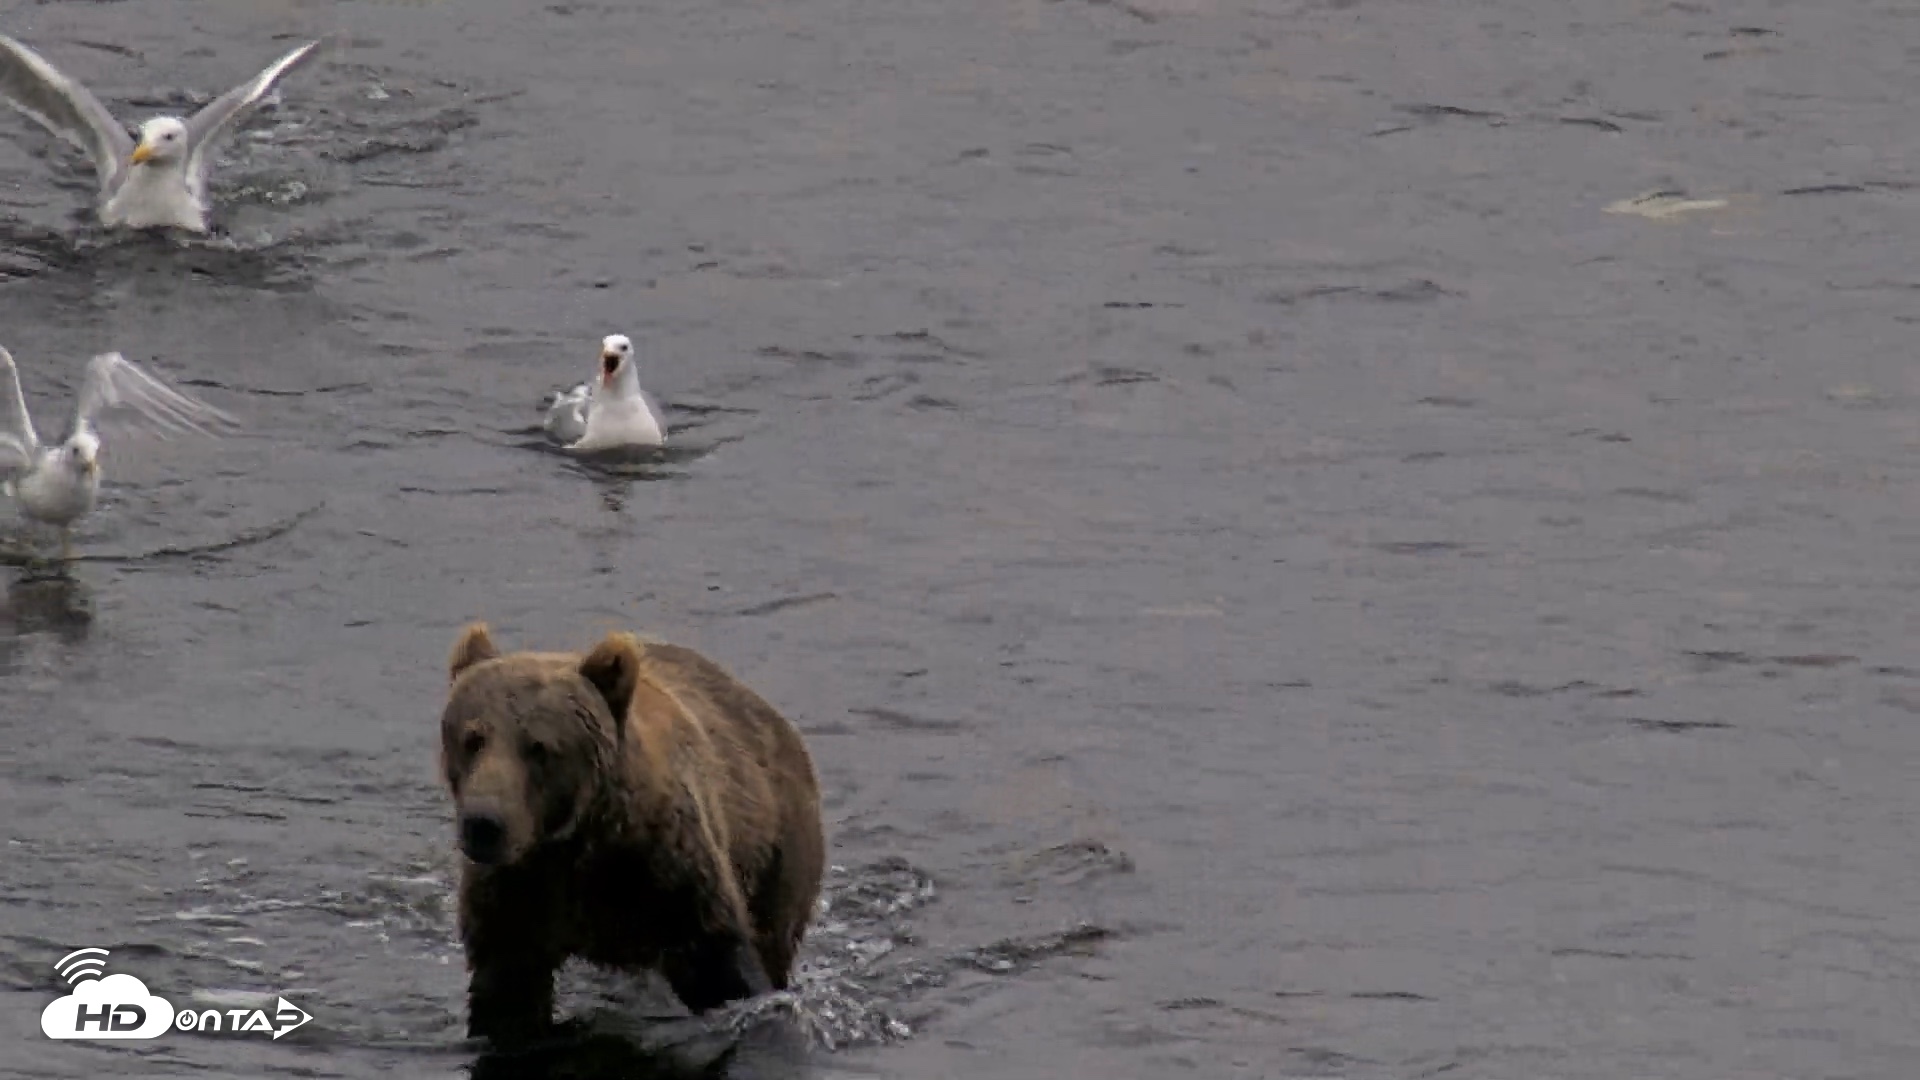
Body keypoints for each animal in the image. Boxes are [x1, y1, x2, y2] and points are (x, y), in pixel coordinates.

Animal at [437, 622, 827, 1045]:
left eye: (538, 747)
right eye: (473, 738)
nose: (484, 824)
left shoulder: (668, 867)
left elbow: (721, 965)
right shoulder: (517, 893)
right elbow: (508, 989)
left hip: (779, 854)